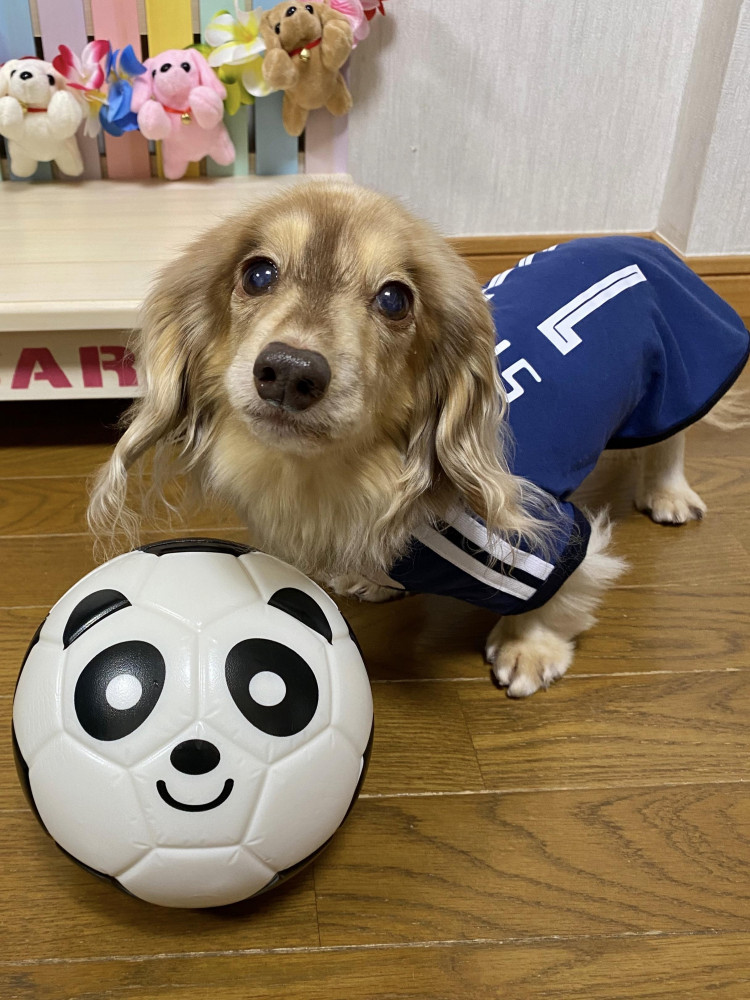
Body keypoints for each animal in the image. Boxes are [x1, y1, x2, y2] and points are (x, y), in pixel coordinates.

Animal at [89, 182, 750, 696]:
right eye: (257, 274)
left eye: (394, 299)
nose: (290, 370)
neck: (349, 477)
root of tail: (648, 244)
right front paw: (374, 580)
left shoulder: (542, 543)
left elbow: (560, 591)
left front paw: (529, 649)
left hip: (676, 376)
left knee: (672, 441)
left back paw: (669, 494)